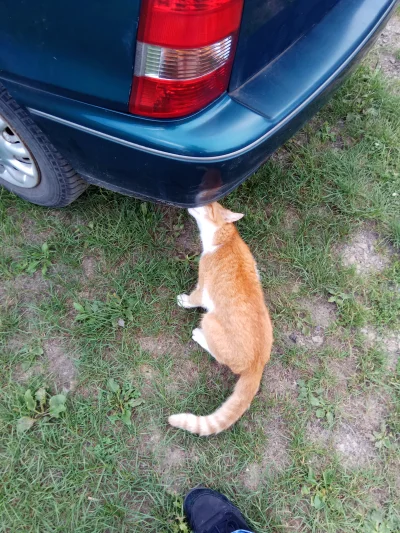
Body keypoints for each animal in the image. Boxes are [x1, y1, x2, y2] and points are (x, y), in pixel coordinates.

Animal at [169, 202, 272, 434]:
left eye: (209, 205)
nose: (194, 200)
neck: (225, 238)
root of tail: (258, 365)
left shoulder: (202, 287)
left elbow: (193, 298)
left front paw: (183, 300)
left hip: (208, 320)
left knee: (221, 358)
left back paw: (199, 335)